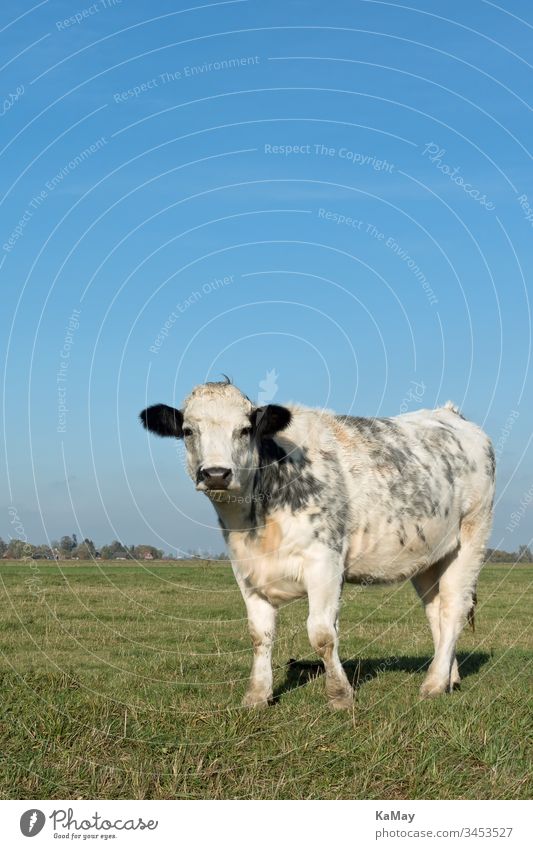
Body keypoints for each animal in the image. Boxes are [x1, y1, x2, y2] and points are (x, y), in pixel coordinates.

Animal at [140, 380, 494, 708]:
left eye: (244, 429)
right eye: (188, 430)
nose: (215, 473)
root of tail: (451, 414)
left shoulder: (325, 561)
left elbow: (322, 634)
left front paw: (340, 695)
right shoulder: (246, 570)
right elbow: (259, 634)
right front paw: (257, 696)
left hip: (471, 536)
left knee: (454, 608)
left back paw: (433, 684)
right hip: (429, 555)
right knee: (436, 610)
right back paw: (448, 677)